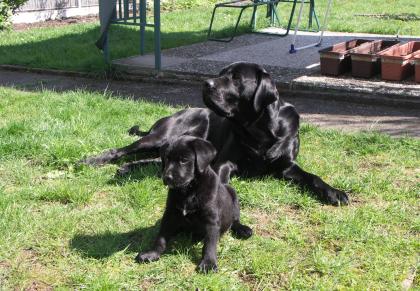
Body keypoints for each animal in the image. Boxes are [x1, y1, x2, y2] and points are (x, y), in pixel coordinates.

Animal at [80, 62, 350, 206]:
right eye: (221, 73)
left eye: (236, 78)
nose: (205, 83)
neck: (259, 130)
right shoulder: (224, 163)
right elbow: (221, 182)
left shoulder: (287, 166)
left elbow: (313, 176)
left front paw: (334, 192)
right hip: (160, 137)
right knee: (121, 150)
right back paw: (92, 160)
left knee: (156, 161)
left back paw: (127, 168)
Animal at [136, 137, 251, 274]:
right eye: (166, 159)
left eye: (184, 160)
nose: (167, 177)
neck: (189, 190)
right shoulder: (170, 214)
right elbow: (161, 238)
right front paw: (152, 253)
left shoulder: (211, 220)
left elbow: (209, 244)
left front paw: (208, 263)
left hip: (233, 195)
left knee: (235, 220)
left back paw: (243, 229)